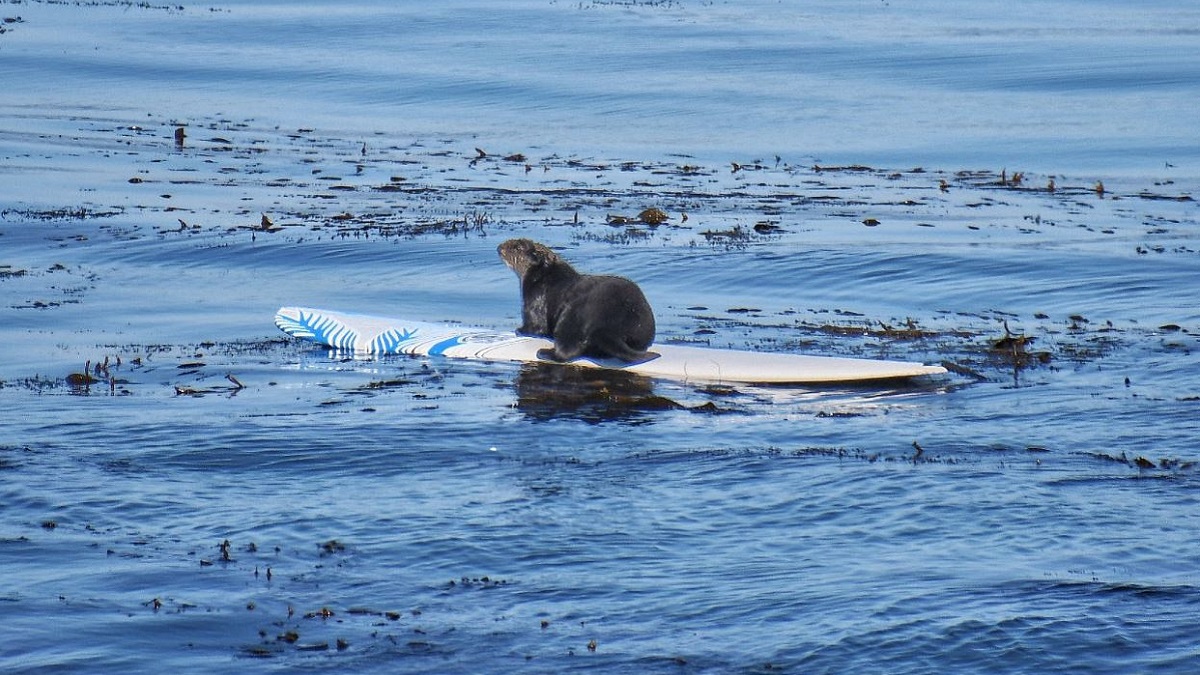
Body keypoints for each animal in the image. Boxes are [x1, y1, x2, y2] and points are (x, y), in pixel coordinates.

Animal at [496, 237, 657, 362]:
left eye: (517, 247)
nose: (499, 247)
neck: (546, 275)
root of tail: (610, 325)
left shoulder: (534, 298)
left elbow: (536, 326)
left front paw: (520, 330)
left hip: (573, 316)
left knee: (566, 350)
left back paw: (545, 352)